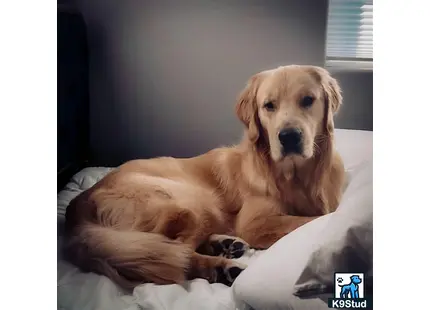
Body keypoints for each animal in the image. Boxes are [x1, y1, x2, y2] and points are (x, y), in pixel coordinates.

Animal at [64, 65, 346, 288]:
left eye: (308, 100)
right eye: (269, 106)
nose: (288, 137)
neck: (297, 176)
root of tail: (78, 203)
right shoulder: (255, 223)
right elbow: (310, 220)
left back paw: (226, 245)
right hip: (191, 202)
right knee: (176, 253)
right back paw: (223, 267)